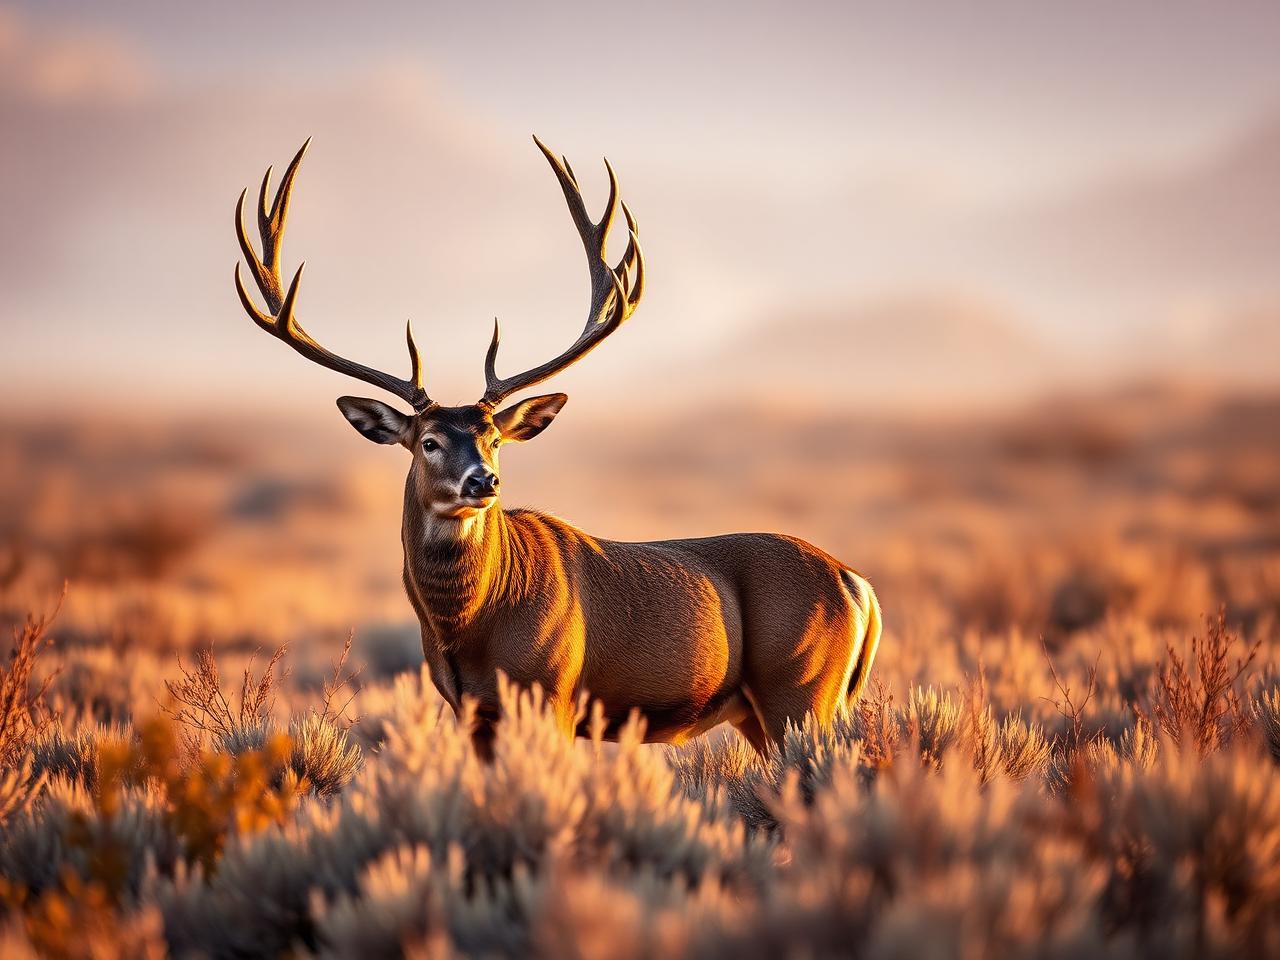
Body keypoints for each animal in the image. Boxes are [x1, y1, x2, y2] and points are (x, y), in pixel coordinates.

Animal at [234, 137, 881, 758]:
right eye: (428, 442)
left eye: (495, 438)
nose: (484, 481)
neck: (471, 628)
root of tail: (857, 585)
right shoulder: (469, 709)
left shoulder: (556, 695)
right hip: (765, 709)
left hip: (799, 688)